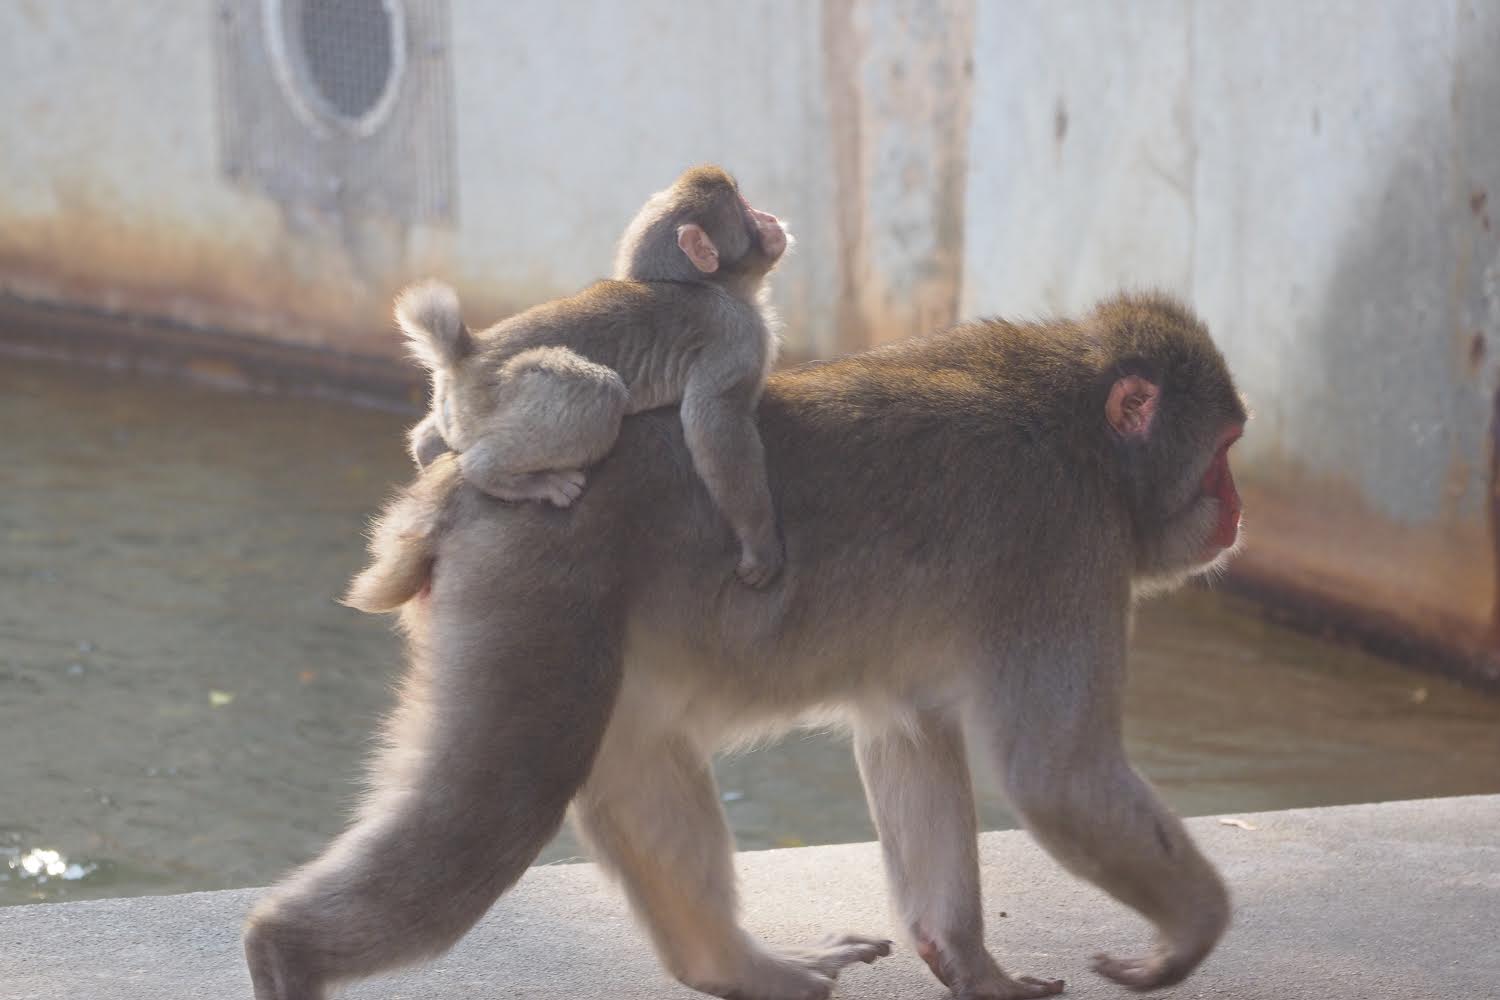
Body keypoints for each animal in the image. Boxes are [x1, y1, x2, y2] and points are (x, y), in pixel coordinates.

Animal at [247, 292, 1247, 1000]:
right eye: (1226, 451)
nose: (1238, 509)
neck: (1086, 438)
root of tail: (460, 482)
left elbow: (908, 734)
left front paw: (970, 964)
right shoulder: (1065, 544)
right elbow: (1056, 775)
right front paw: (1193, 929)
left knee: (634, 756)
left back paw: (732, 967)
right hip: (533, 585)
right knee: (507, 792)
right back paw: (286, 951)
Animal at [398, 165, 789, 587]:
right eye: (745, 209)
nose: (770, 218)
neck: (710, 284)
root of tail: (467, 353)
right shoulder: (737, 336)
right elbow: (714, 422)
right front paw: (760, 544)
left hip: (460, 411)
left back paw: (429, 451)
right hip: (508, 388)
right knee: (600, 392)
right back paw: (504, 476)